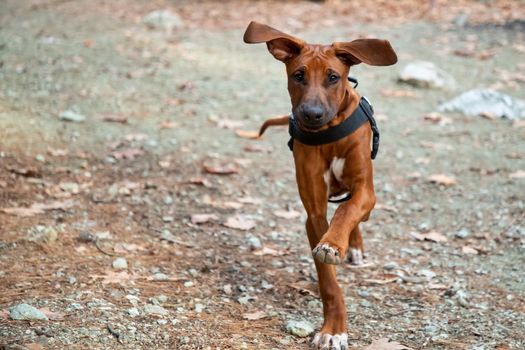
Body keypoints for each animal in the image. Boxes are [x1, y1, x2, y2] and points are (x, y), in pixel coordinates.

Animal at [243, 22, 398, 350]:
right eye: (298, 75)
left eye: (333, 77)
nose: (311, 114)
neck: (329, 134)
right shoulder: (314, 214)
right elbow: (328, 281)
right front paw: (333, 329)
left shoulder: (366, 191)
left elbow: (347, 211)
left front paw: (335, 243)